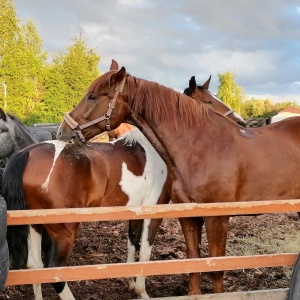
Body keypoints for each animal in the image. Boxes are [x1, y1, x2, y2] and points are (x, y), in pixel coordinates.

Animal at [56, 63, 300, 296]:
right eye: (209, 102)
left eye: (93, 96)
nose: (62, 131)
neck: (202, 148)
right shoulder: (188, 218)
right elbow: (193, 262)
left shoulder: (217, 219)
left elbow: (216, 268)